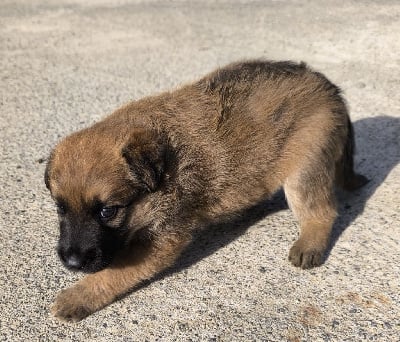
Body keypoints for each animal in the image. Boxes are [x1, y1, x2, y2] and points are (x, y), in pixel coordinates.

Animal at [45, 60, 368, 322]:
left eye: (107, 211)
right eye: (60, 208)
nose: (71, 263)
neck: (166, 163)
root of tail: (329, 86)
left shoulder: (162, 240)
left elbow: (115, 272)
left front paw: (77, 296)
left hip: (304, 173)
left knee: (322, 212)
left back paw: (310, 244)